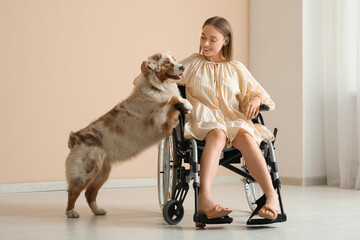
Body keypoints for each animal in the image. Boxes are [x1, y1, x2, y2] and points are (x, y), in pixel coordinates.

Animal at [66, 51, 193, 218]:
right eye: (166, 62)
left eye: (175, 60)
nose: (183, 67)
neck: (156, 87)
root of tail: (76, 137)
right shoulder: (158, 120)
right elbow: (173, 98)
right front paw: (185, 103)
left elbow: (174, 98)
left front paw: (186, 104)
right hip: (87, 170)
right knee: (73, 190)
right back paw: (71, 212)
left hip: (102, 171)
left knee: (89, 193)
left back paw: (98, 211)